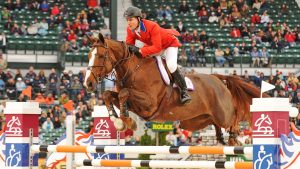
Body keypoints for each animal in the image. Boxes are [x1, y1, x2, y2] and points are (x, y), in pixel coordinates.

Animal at [83, 33, 262, 145]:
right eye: (88, 56)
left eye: (100, 56)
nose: (88, 84)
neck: (133, 70)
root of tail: (218, 78)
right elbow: (110, 94)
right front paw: (118, 119)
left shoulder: (149, 104)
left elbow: (123, 93)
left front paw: (125, 120)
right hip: (196, 121)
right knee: (217, 126)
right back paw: (223, 138)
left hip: (223, 114)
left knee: (235, 117)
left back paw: (234, 136)